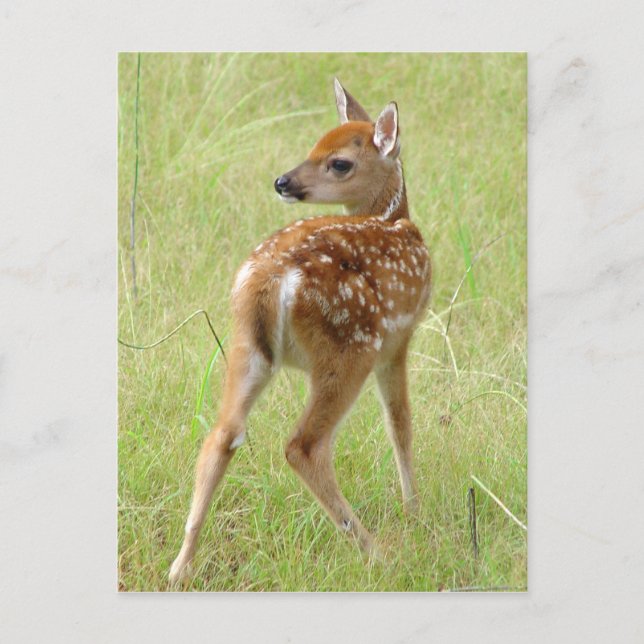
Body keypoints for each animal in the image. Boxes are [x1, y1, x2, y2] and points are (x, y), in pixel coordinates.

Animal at [169, 79, 431, 584]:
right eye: (313, 147)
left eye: (338, 161)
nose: (282, 182)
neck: (395, 218)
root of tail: (268, 279)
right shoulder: (398, 339)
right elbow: (400, 423)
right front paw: (414, 511)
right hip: (348, 348)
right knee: (303, 446)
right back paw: (376, 552)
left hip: (245, 347)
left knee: (221, 434)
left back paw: (180, 567)